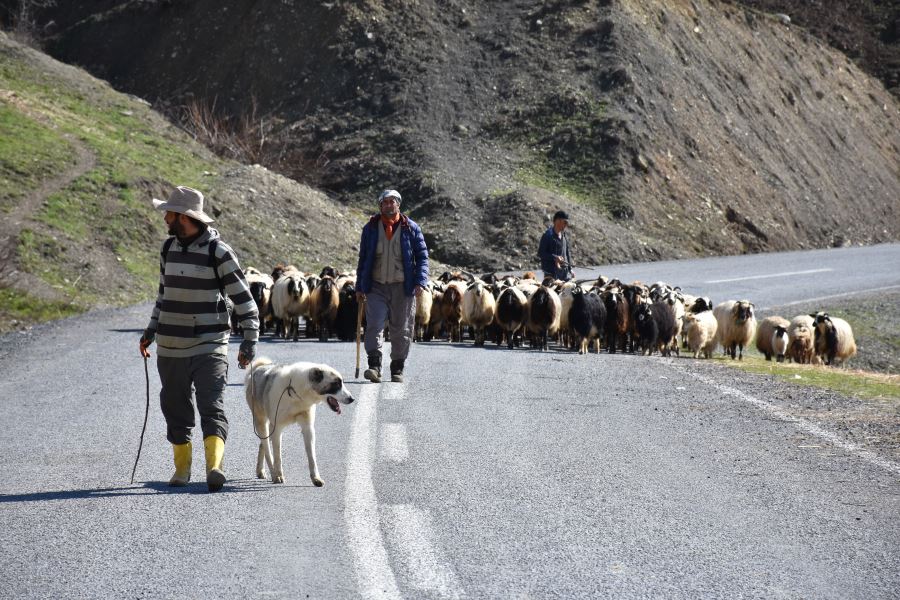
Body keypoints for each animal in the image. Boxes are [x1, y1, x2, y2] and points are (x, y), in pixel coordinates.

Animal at [248, 358, 356, 486]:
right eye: (336, 384)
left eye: (342, 383)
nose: (352, 399)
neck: (296, 392)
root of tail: (259, 367)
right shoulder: (277, 429)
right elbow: (277, 456)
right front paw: (279, 475)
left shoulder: (308, 428)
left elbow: (312, 456)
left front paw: (316, 478)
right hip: (262, 423)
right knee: (268, 450)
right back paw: (274, 474)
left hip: (270, 428)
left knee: (262, 446)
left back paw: (260, 471)